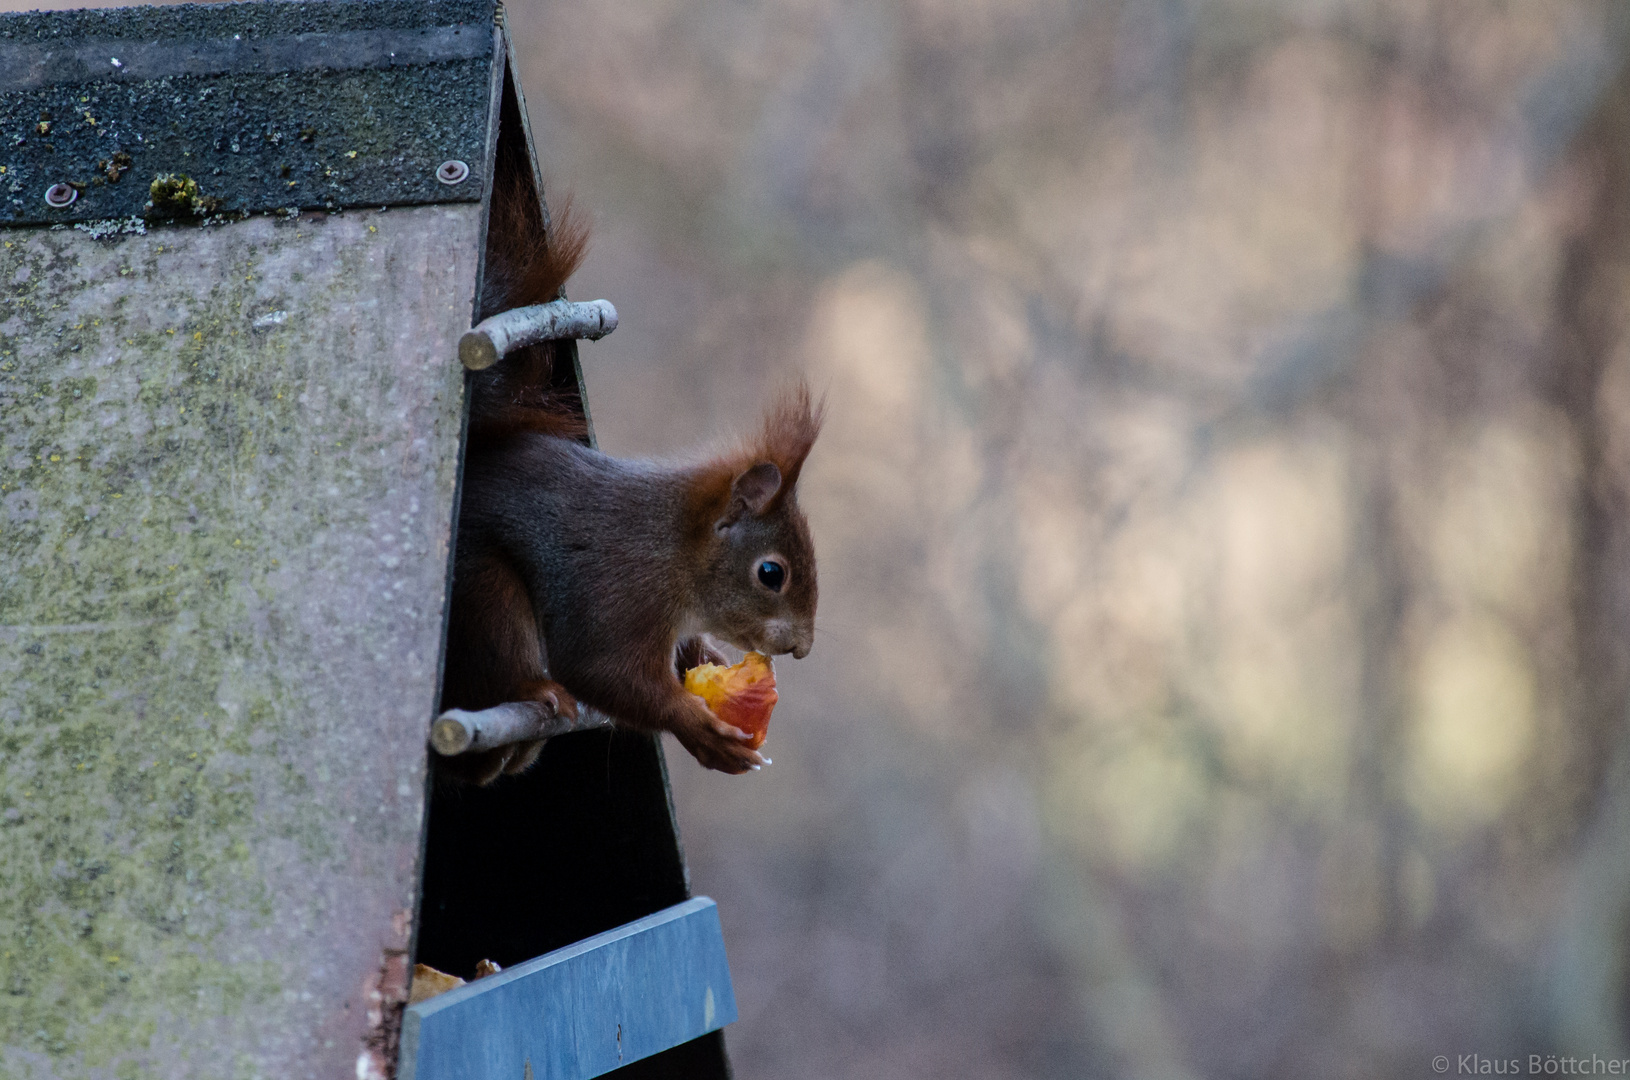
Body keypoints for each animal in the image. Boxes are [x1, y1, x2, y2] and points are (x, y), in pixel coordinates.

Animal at [440, 184, 821, 778]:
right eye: (770, 573)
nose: (803, 648)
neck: (677, 551)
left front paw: (705, 656)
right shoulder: (621, 589)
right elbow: (601, 670)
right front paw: (693, 727)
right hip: (484, 587)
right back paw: (534, 690)